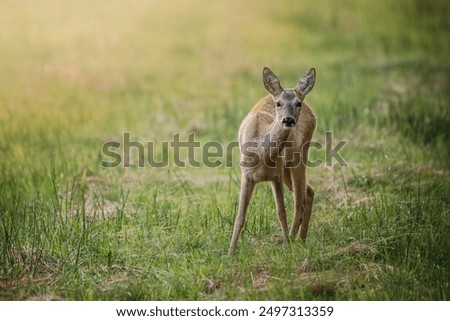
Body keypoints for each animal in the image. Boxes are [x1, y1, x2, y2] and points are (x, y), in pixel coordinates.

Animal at [229, 66, 316, 254]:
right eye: (278, 103)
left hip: (299, 156)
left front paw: (286, 245)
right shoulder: (246, 176)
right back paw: (302, 239)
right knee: (309, 192)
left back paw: (294, 239)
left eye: (298, 103)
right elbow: (240, 216)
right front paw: (230, 252)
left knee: (300, 201)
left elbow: (281, 211)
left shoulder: (275, 175)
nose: (288, 119)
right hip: (287, 169)